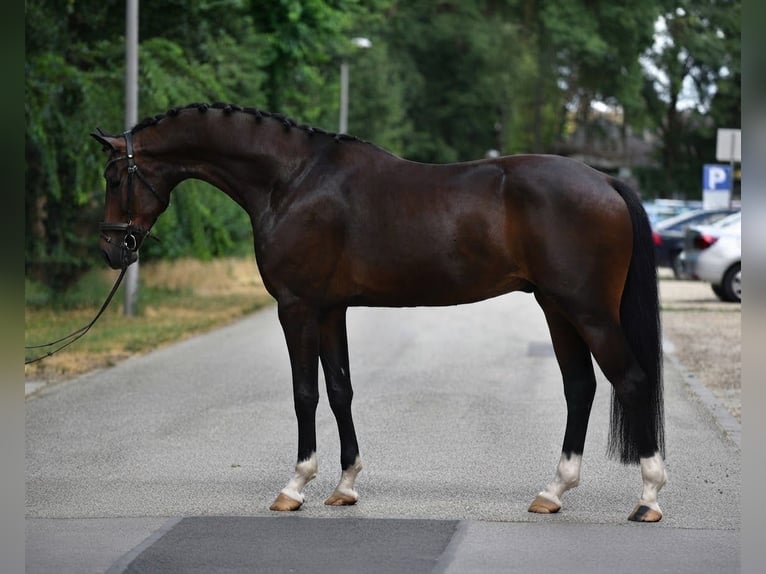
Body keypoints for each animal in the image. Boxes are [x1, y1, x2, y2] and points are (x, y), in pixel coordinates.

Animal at [92, 102, 667, 522]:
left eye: (114, 179)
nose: (113, 250)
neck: (292, 180)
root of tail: (607, 181)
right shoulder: (330, 309)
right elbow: (339, 389)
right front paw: (345, 486)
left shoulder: (297, 307)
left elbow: (304, 393)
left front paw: (295, 485)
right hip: (557, 307)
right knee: (581, 387)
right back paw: (554, 491)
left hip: (588, 311)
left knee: (632, 380)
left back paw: (648, 499)